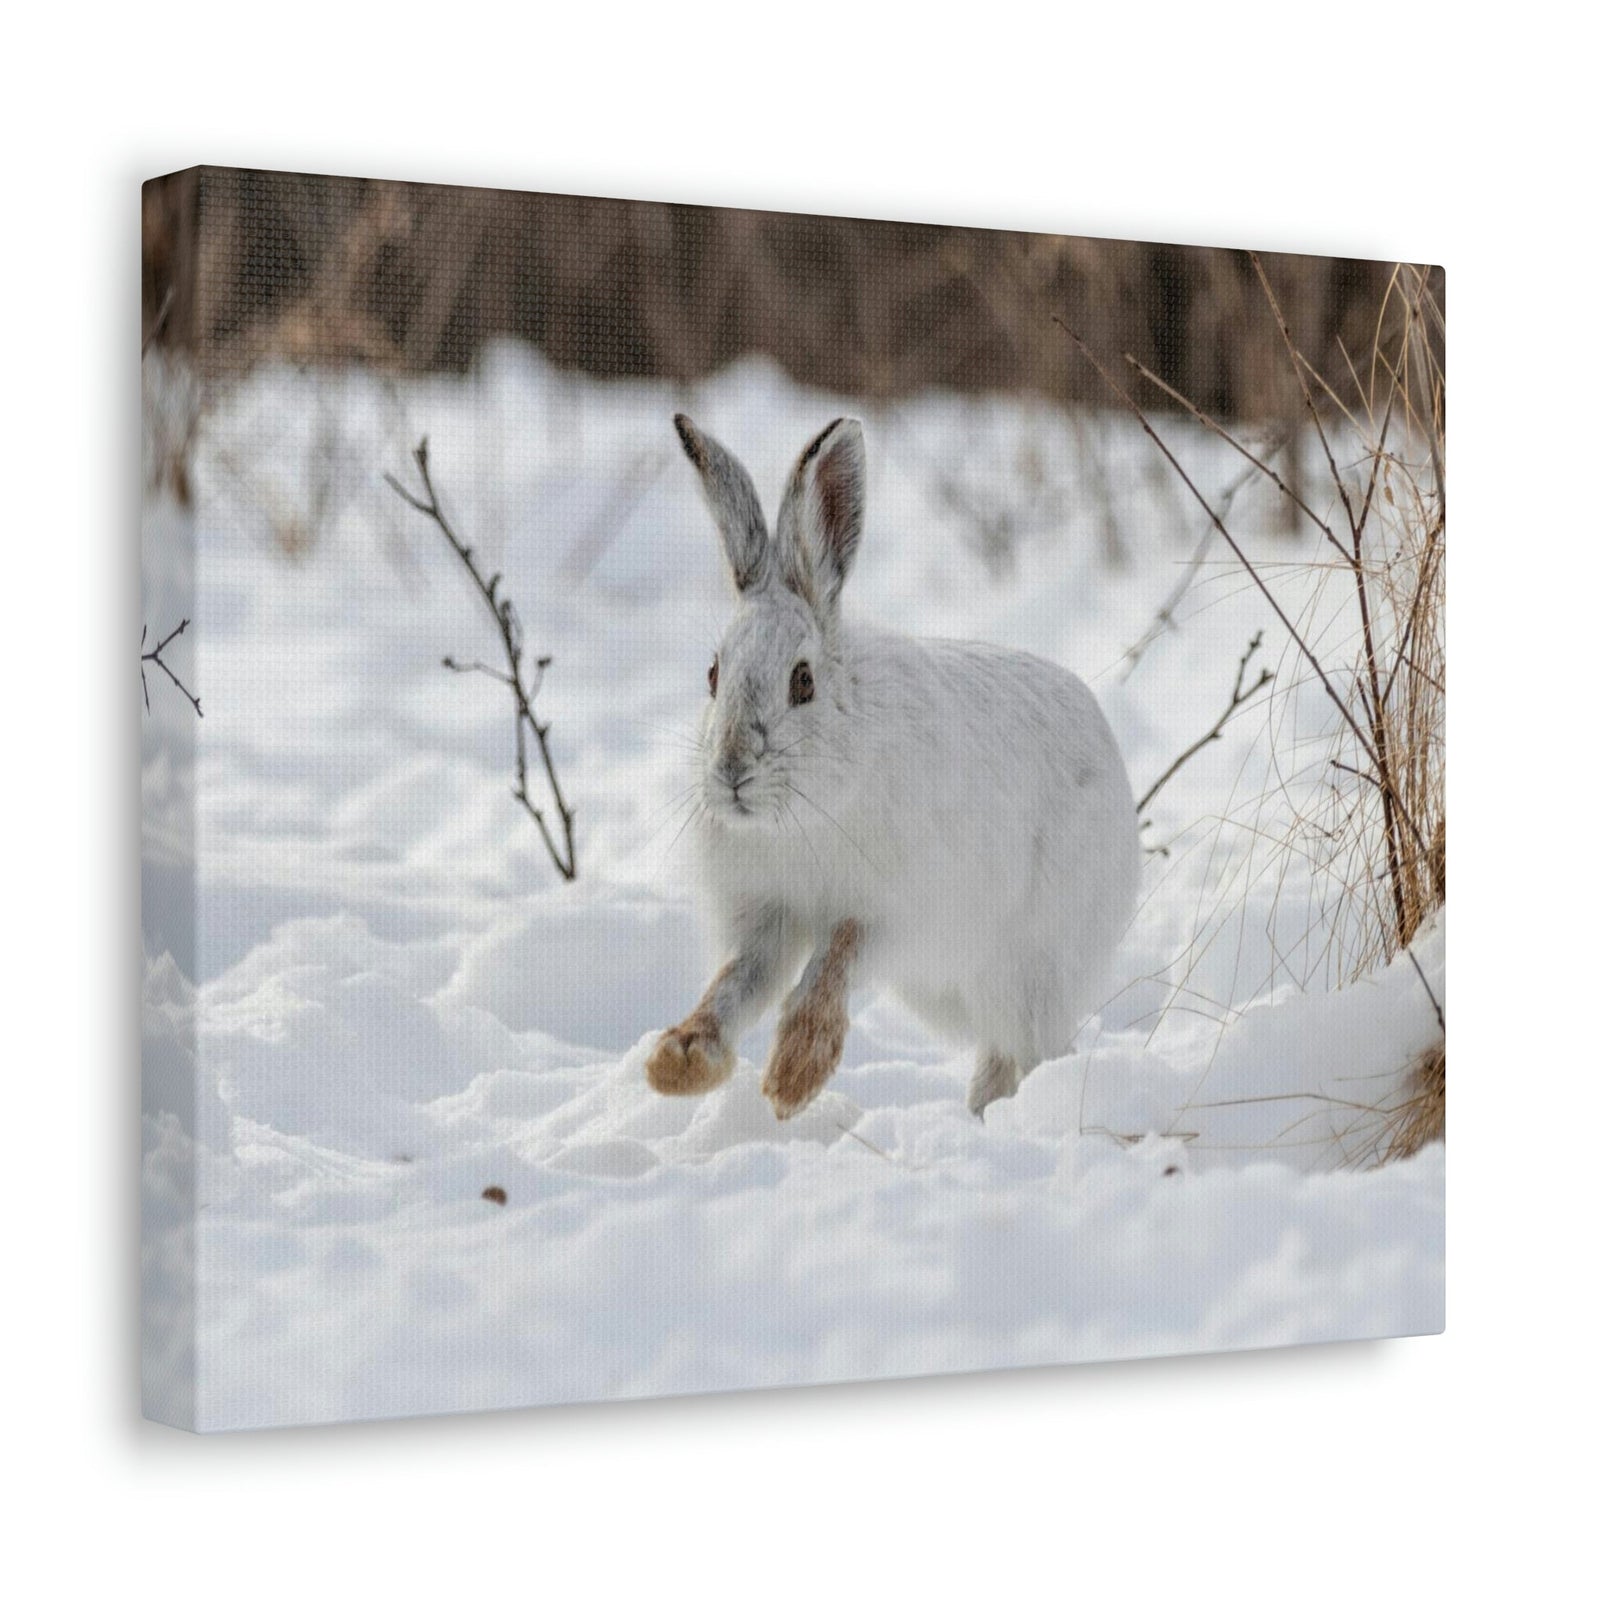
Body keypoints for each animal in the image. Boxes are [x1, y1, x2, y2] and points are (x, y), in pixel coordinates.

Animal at [645, 414, 1140, 1120]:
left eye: (802, 682)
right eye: (713, 675)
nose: (732, 771)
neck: (802, 810)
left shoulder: (888, 910)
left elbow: (834, 962)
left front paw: (793, 1077)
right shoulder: (766, 917)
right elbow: (735, 983)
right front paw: (679, 1063)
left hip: (1034, 964)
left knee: (1030, 1048)